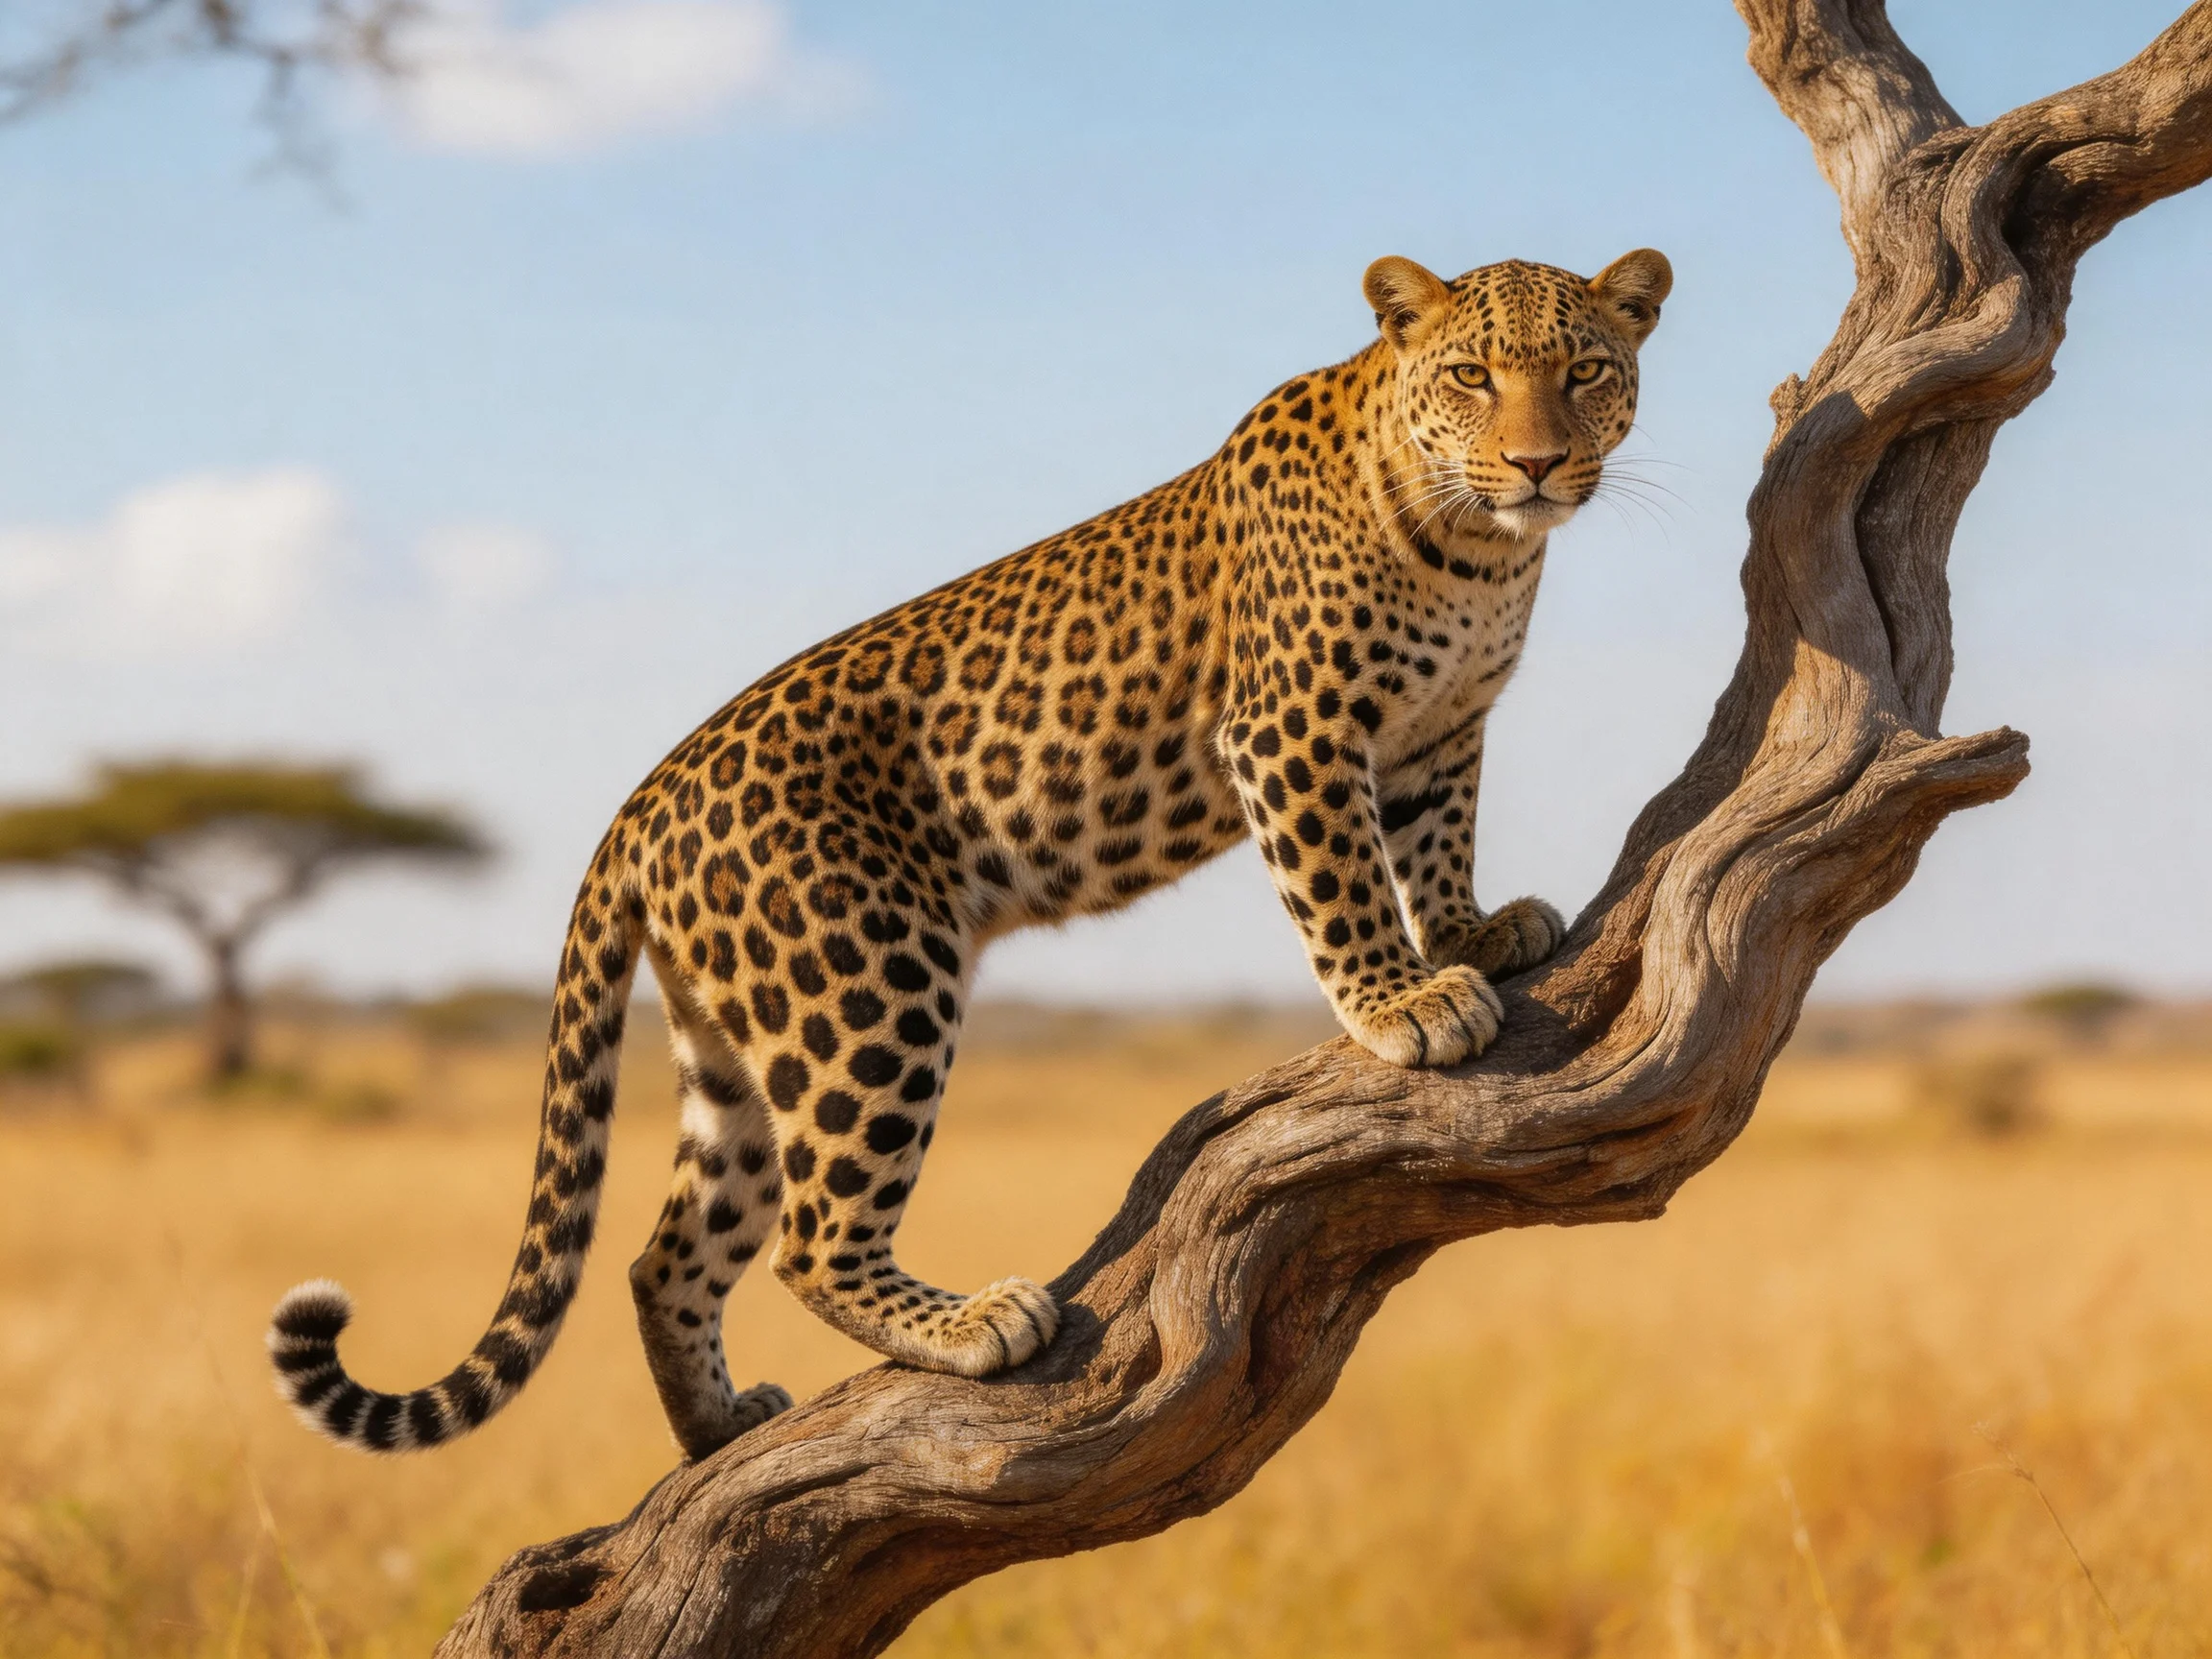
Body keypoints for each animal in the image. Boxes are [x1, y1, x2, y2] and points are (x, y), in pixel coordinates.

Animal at [267, 247, 1671, 1462]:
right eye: (1473, 375)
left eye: (1585, 371)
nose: (1538, 462)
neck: (1481, 551)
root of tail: (639, 804)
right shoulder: (1292, 730)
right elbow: (1342, 883)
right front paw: (1404, 1005)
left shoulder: (1441, 733)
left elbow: (1434, 845)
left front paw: (1473, 932)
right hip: (864, 984)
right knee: (813, 1235)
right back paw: (972, 1326)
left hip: (736, 1047)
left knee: (666, 1251)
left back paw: (717, 1427)